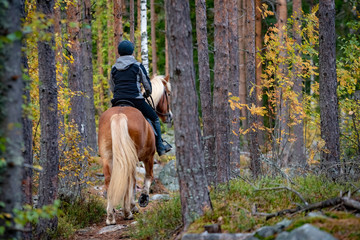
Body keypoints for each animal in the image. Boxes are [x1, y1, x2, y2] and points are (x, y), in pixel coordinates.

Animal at [97, 75, 172, 225]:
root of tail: (119, 115)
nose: (169, 116)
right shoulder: (148, 156)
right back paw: (126, 213)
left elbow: (133, 180)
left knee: (109, 180)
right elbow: (147, 177)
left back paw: (111, 216)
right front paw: (141, 200)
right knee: (128, 180)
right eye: (168, 93)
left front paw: (131, 206)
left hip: (108, 158)